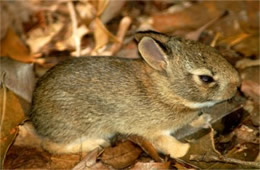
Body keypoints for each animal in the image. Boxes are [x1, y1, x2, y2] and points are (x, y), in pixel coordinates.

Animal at [30, 30, 240, 158]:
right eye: (205, 78)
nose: (237, 84)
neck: (165, 92)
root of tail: (35, 115)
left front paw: (203, 119)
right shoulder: (153, 130)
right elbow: (167, 144)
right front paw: (185, 150)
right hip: (78, 125)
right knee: (51, 145)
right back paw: (97, 143)